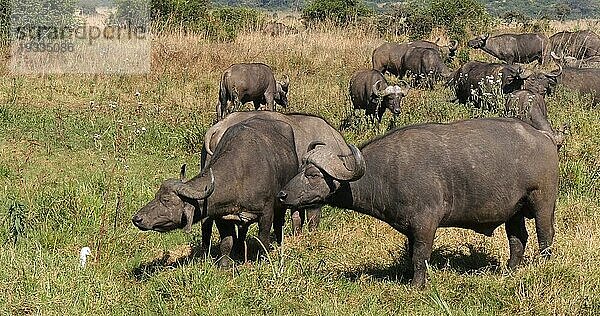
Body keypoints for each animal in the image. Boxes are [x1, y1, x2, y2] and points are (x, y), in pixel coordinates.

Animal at [134, 118, 298, 266]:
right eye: (156, 196)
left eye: (166, 200)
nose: (137, 218)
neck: (240, 174)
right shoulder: (222, 217)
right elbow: (226, 242)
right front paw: (224, 264)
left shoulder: (266, 212)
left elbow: (263, 238)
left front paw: (264, 259)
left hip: (281, 204)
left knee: (278, 223)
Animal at [278, 117, 560, 288]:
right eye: (301, 169)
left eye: (313, 174)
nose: (282, 195)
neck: (387, 171)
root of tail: (544, 137)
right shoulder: (410, 229)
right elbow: (412, 253)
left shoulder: (426, 225)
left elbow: (420, 256)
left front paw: (416, 285)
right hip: (514, 211)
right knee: (518, 239)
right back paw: (510, 271)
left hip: (542, 202)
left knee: (545, 235)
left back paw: (544, 265)